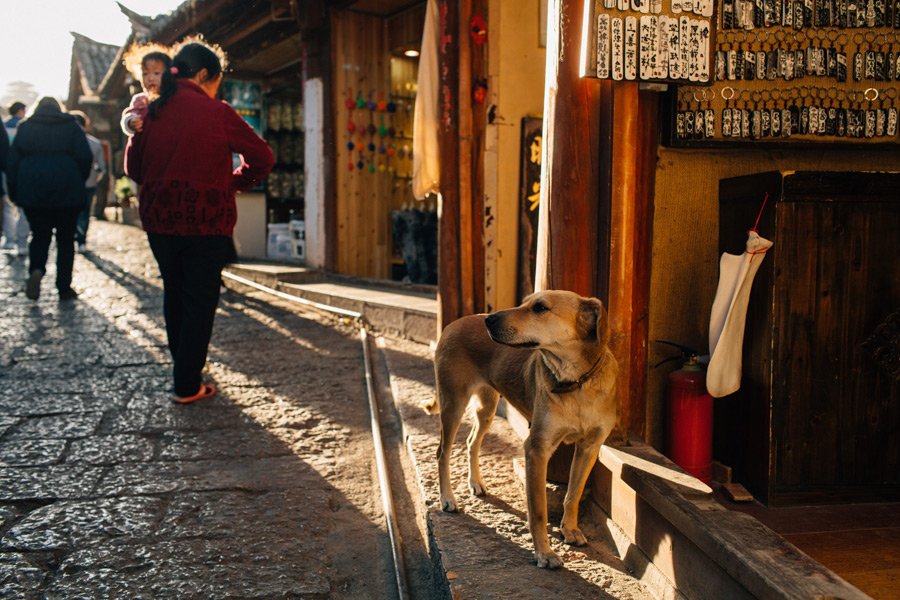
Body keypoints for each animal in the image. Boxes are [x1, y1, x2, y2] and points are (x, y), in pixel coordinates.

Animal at [430, 290, 620, 568]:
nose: (489, 320)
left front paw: (570, 530)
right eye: (523, 302)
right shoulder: (537, 450)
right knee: (442, 452)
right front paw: (545, 553)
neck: (576, 383)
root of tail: (456, 322)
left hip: (486, 408)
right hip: (453, 404)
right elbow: (539, 511)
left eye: (539, 308)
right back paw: (448, 498)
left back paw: (475, 483)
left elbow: (573, 494)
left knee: (472, 443)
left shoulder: (589, 448)